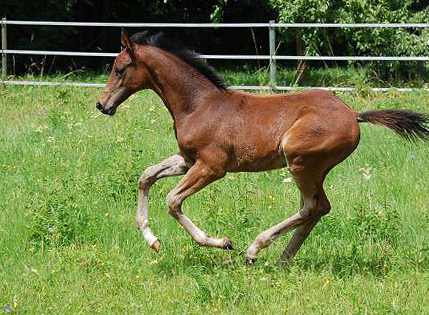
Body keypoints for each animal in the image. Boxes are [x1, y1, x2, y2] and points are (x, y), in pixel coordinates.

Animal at [96, 30, 428, 266]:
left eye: (120, 68)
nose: (101, 104)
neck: (199, 105)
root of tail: (355, 115)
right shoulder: (188, 160)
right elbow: (146, 176)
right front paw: (151, 238)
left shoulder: (212, 167)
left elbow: (172, 200)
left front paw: (223, 242)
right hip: (313, 169)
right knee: (317, 208)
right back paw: (281, 261)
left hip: (300, 162)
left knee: (312, 207)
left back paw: (256, 249)